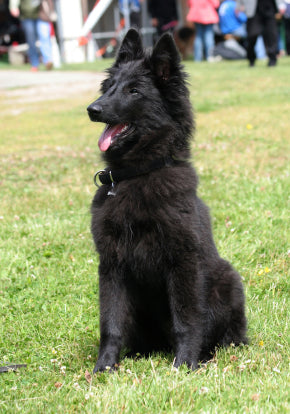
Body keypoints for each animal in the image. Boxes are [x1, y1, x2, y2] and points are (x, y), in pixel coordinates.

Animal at [86, 28, 247, 372]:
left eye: (134, 91)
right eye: (109, 86)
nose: (92, 109)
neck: (138, 173)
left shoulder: (182, 261)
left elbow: (186, 319)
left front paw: (184, 364)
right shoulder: (111, 264)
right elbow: (111, 322)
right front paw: (104, 367)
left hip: (227, 279)